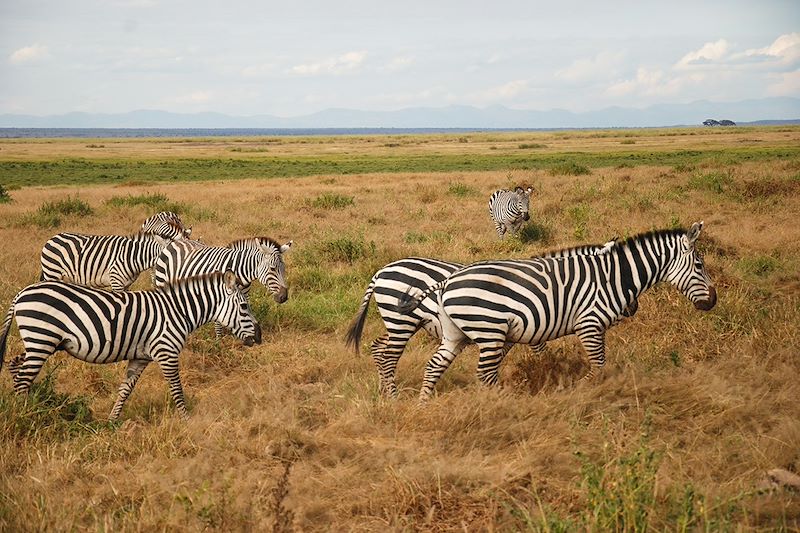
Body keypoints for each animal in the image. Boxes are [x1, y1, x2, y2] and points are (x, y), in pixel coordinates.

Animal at [0, 270, 260, 420]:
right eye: (244, 307)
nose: (259, 337)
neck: (178, 311)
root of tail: (21, 293)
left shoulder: (141, 357)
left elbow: (125, 389)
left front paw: (112, 422)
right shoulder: (166, 352)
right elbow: (177, 389)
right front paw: (187, 421)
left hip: (41, 343)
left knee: (15, 366)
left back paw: (25, 406)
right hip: (41, 340)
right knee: (23, 379)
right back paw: (27, 416)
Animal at [152, 237, 292, 336]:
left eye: (284, 268)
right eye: (272, 269)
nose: (284, 297)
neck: (238, 272)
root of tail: (174, 242)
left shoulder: (244, 296)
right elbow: (219, 323)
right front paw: (218, 342)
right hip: (161, 280)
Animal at [346, 237, 636, 394]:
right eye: (619, 278)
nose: (632, 310)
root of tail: (381, 271)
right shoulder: (532, 323)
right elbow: (540, 353)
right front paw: (546, 370)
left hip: (399, 323)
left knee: (378, 347)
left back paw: (384, 392)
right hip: (402, 322)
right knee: (388, 355)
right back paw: (392, 395)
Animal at [396, 221, 716, 400]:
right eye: (699, 265)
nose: (712, 302)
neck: (614, 276)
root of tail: (448, 280)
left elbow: (598, 366)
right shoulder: (589, 324)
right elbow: (598, 366)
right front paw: (579, 391)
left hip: (456, 333)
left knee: (435, 366)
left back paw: (424, 405)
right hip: (489, 331)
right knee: (484, 374)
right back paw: (504, 403)